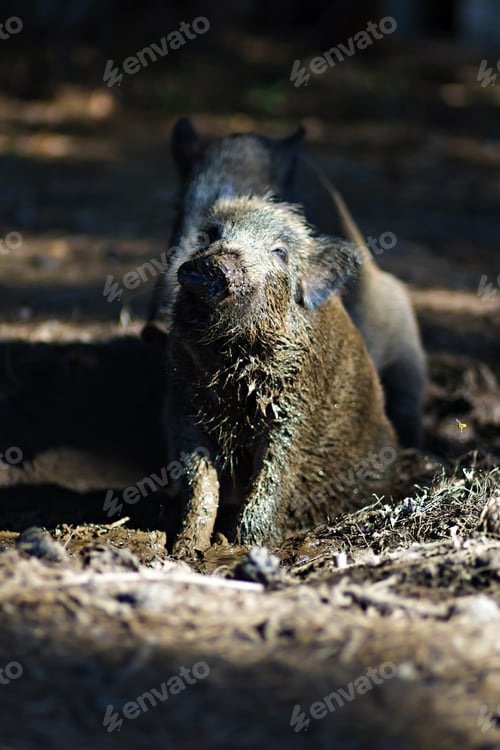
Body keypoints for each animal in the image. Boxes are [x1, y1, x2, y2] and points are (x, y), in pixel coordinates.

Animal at [159, 194, 397, 556]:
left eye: (280, 251)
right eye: (211, 234)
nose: (217, 262)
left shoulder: (296, 410)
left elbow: (275, 476)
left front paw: (242, 547)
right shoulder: (186, 403)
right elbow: (198, 480)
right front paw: (186, 550)